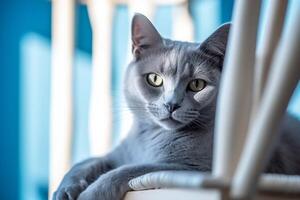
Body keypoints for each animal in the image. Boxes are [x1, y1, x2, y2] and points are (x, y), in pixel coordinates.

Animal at [54, 13, 300, 199]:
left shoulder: (191, 169)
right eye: (154, 79)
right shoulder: (119, 154)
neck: (149, 140)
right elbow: (86, 162)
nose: (171, 104)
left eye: (197, 84)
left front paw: (91, 193)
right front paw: (64, 189)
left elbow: (128, 170)